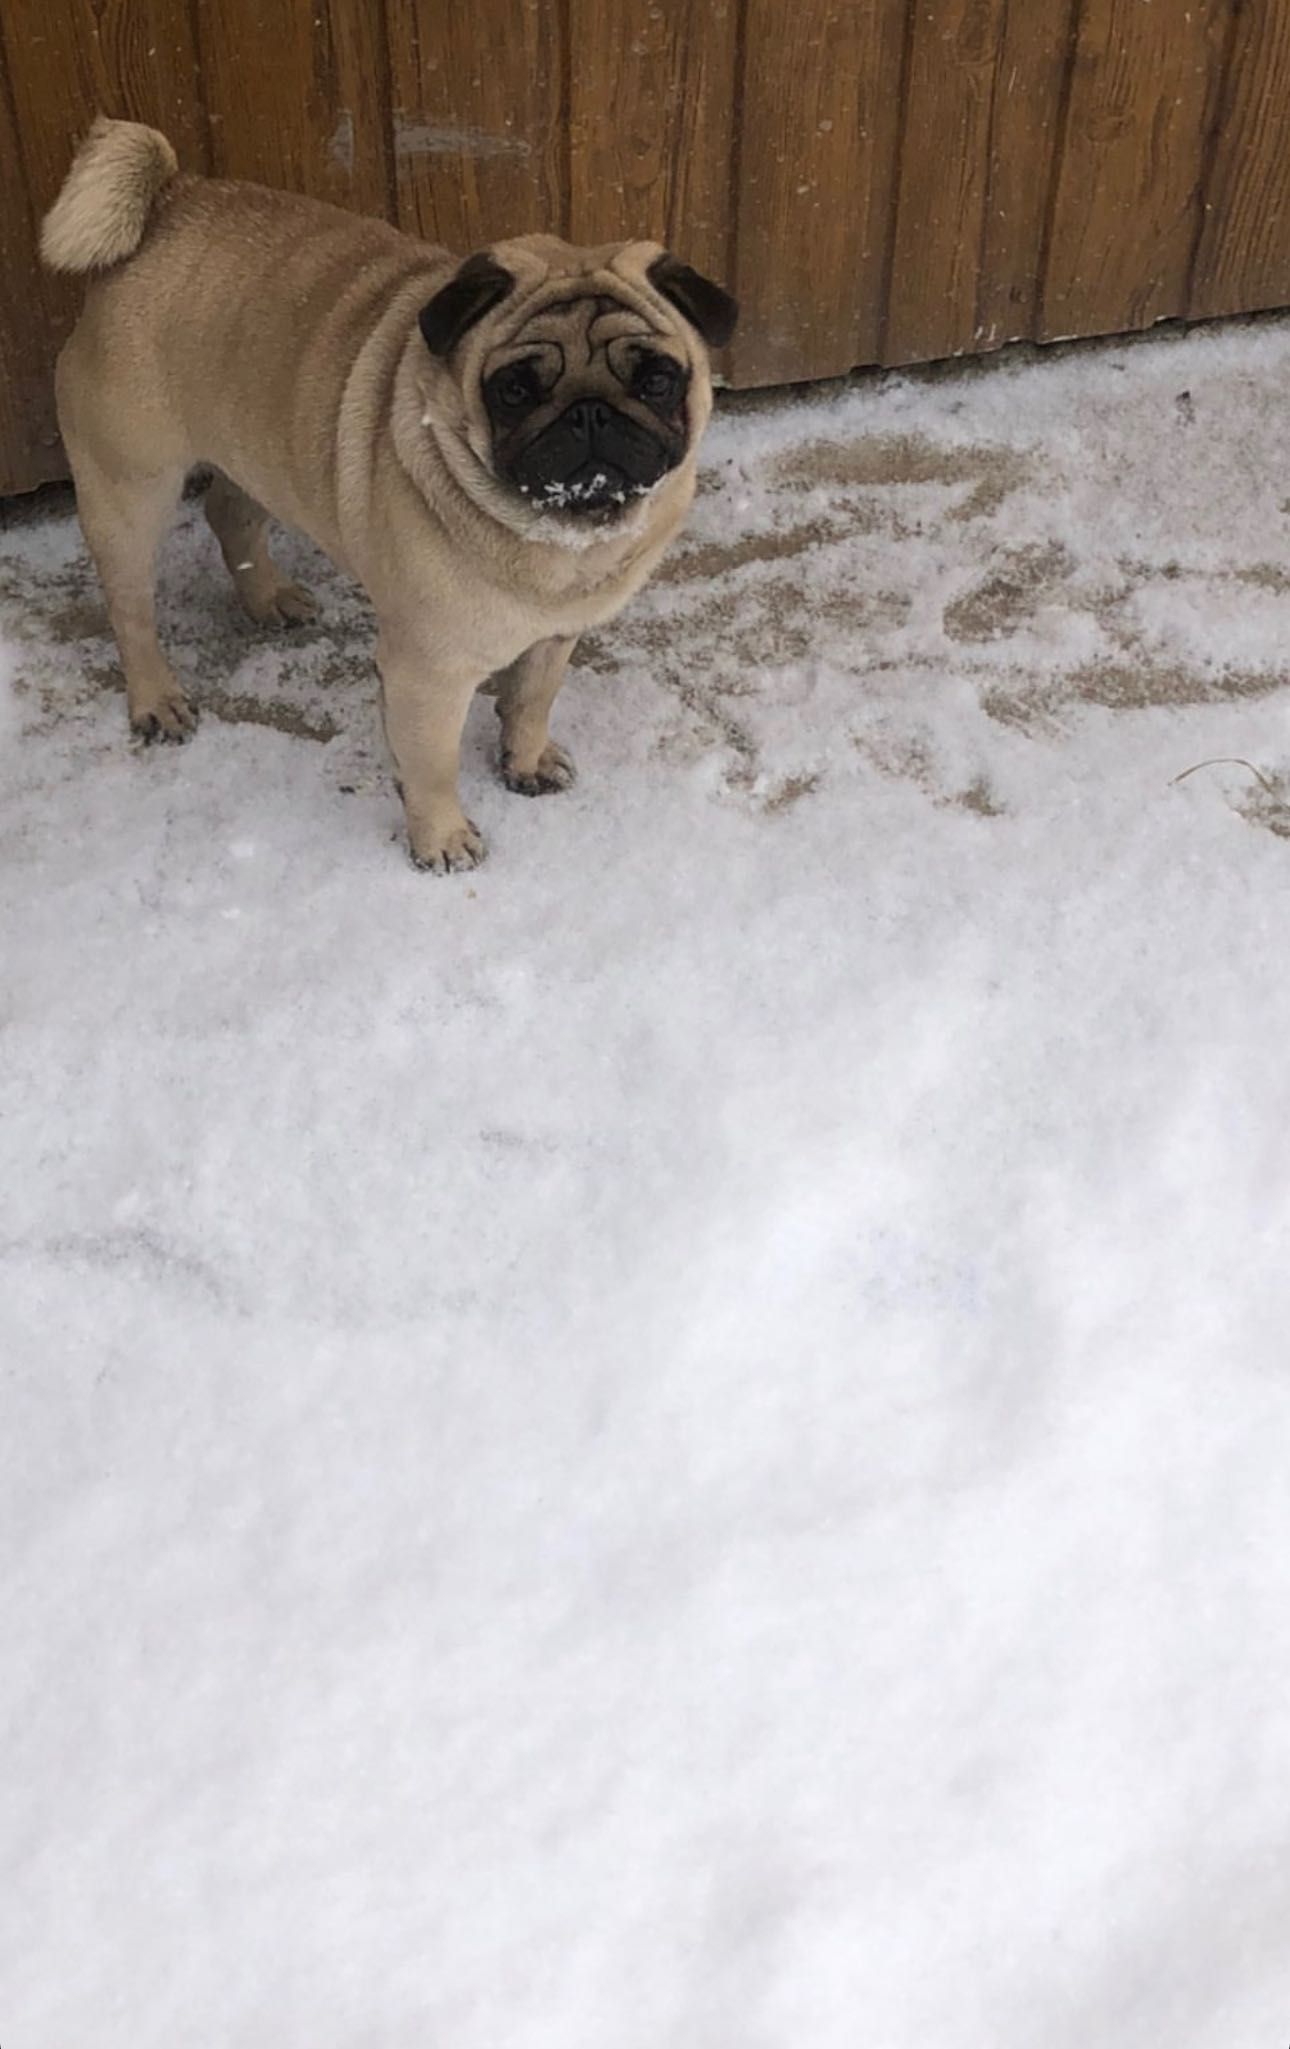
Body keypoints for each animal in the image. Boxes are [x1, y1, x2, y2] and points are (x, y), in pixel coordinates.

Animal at [40, 119, 737, 872]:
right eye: (515, 389)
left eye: (657, 380)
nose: (589, 414)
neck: (558, 538)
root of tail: (171, 197)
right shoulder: (427, 673)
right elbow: (431, 765)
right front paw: (441, 840)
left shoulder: (555, 637)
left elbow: (531, 701)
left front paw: (524, 763)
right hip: (130, 489)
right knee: (132, 609)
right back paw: (156, 699)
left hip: (255, 452)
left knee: (231, 514)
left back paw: (268, 598)